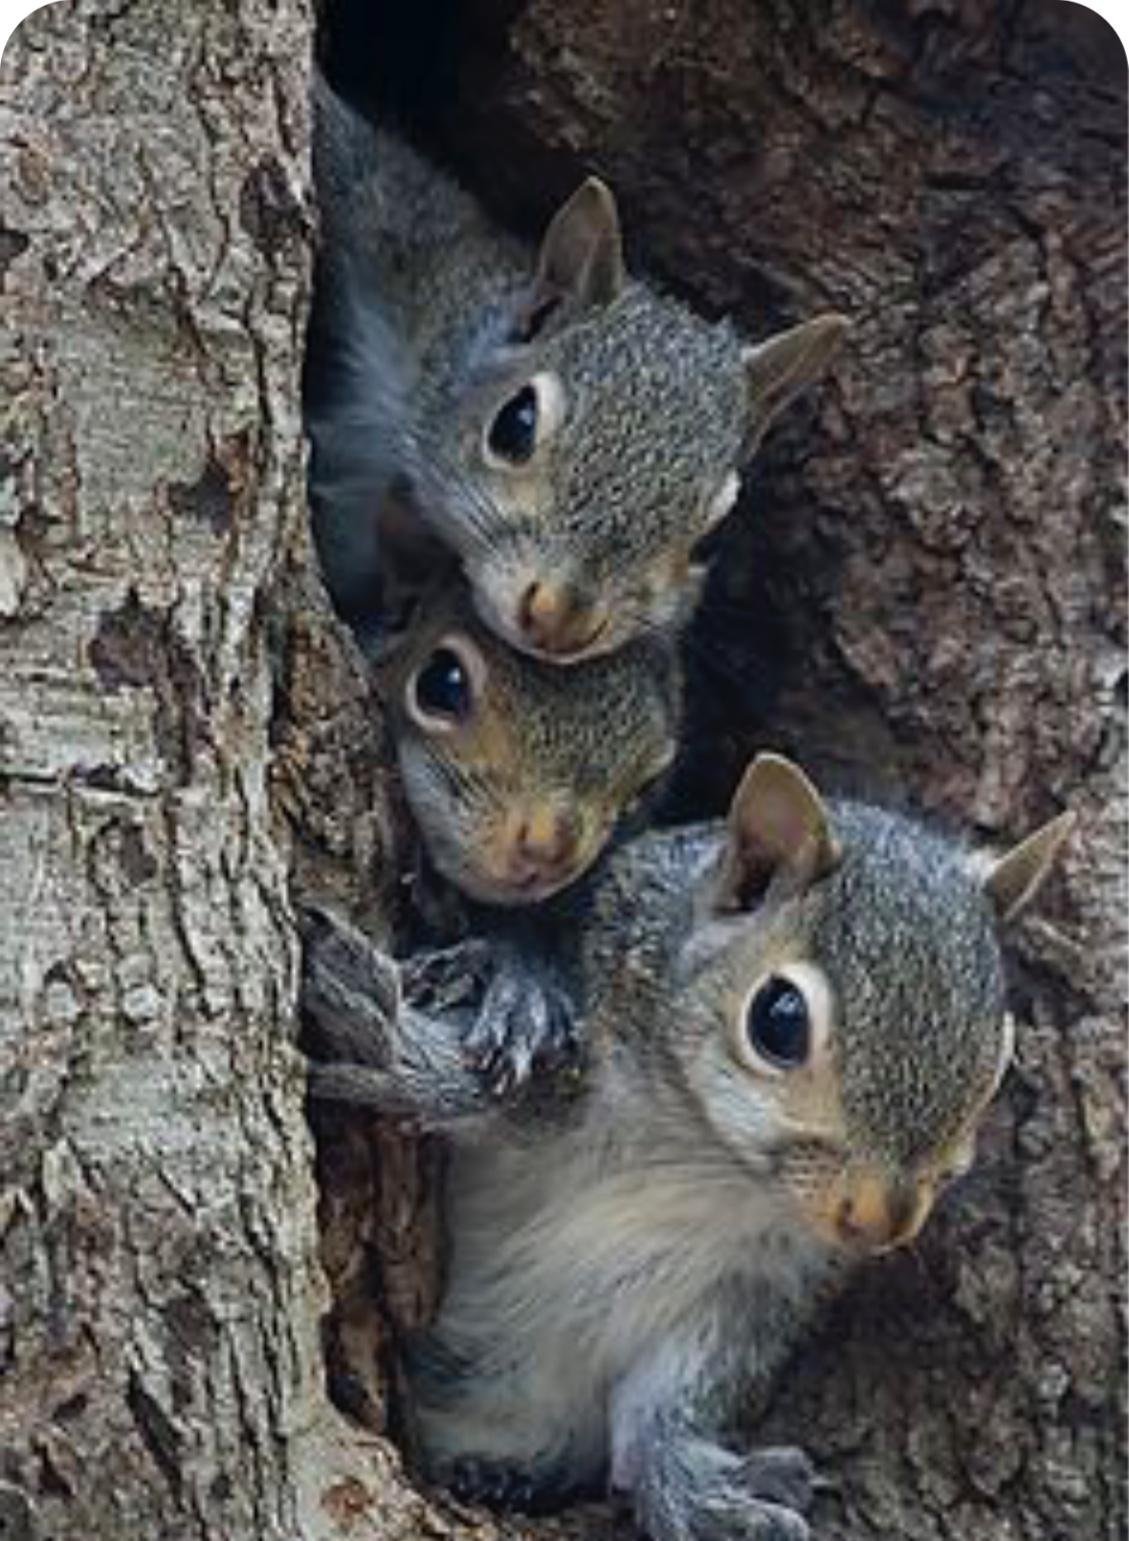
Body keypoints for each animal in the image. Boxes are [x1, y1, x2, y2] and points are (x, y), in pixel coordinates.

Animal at [298, 755, 1072, 1541]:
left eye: (999, 1057)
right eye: (778, 1020)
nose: (877, 1221)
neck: (706, 1157)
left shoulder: (758, 1284)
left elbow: (674, 1397)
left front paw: (694, 1491)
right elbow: (508, 1089)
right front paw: (399, 1046)